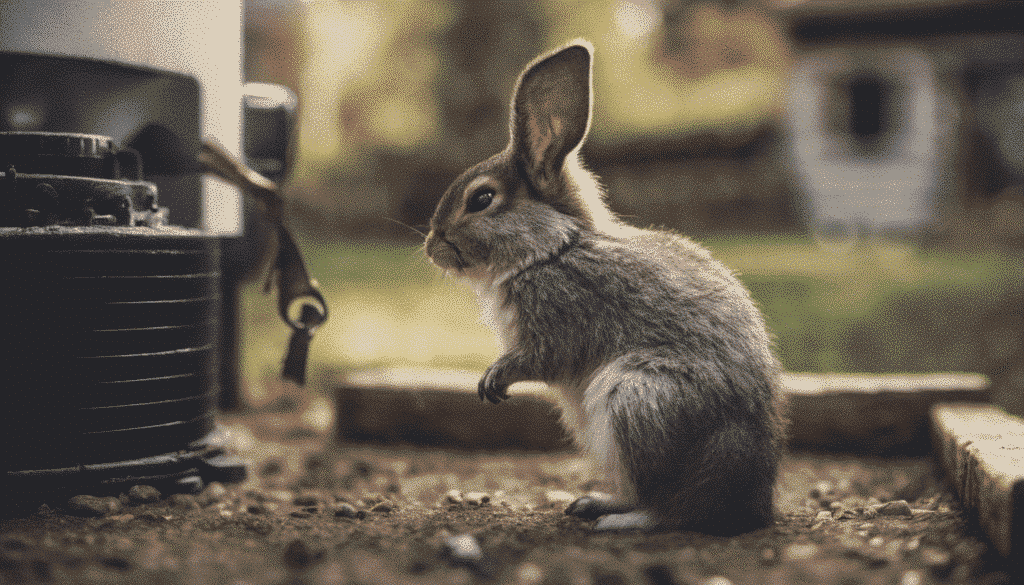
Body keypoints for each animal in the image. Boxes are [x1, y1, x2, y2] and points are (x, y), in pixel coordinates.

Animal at [423, 39, 782, 536]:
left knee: (673, 509)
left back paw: (618, 518)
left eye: (481, 199)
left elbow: (539, 358)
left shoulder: (558, 323)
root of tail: (752, 505)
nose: (431, 245)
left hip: (635, 397)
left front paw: (492, 380)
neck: (552, 249)